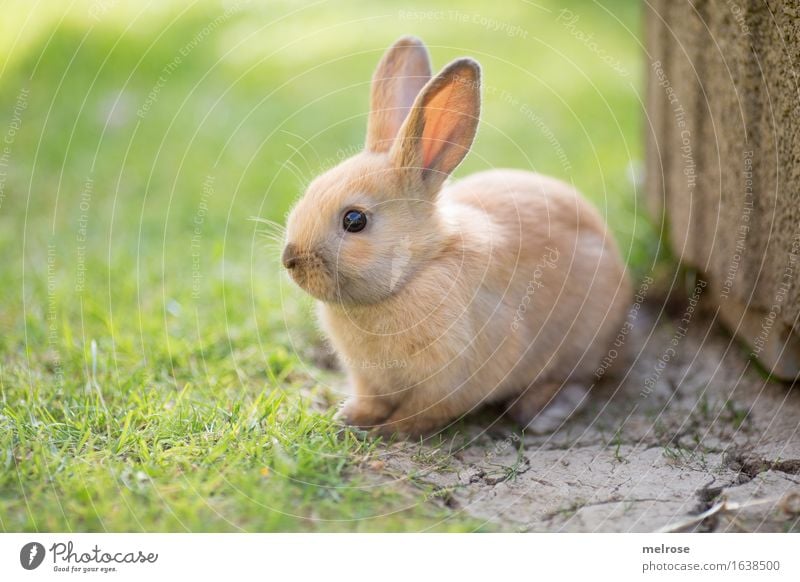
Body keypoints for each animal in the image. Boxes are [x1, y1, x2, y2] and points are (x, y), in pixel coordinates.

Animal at [282, 36, 632, 438]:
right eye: (311, 190)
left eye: (355, 220)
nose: (290, 259)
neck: (416, 270)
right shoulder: (369, 379)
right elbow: (371, 399)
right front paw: (352, 417)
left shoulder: (452, 378)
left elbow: (423, 411)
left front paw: (391, 430)